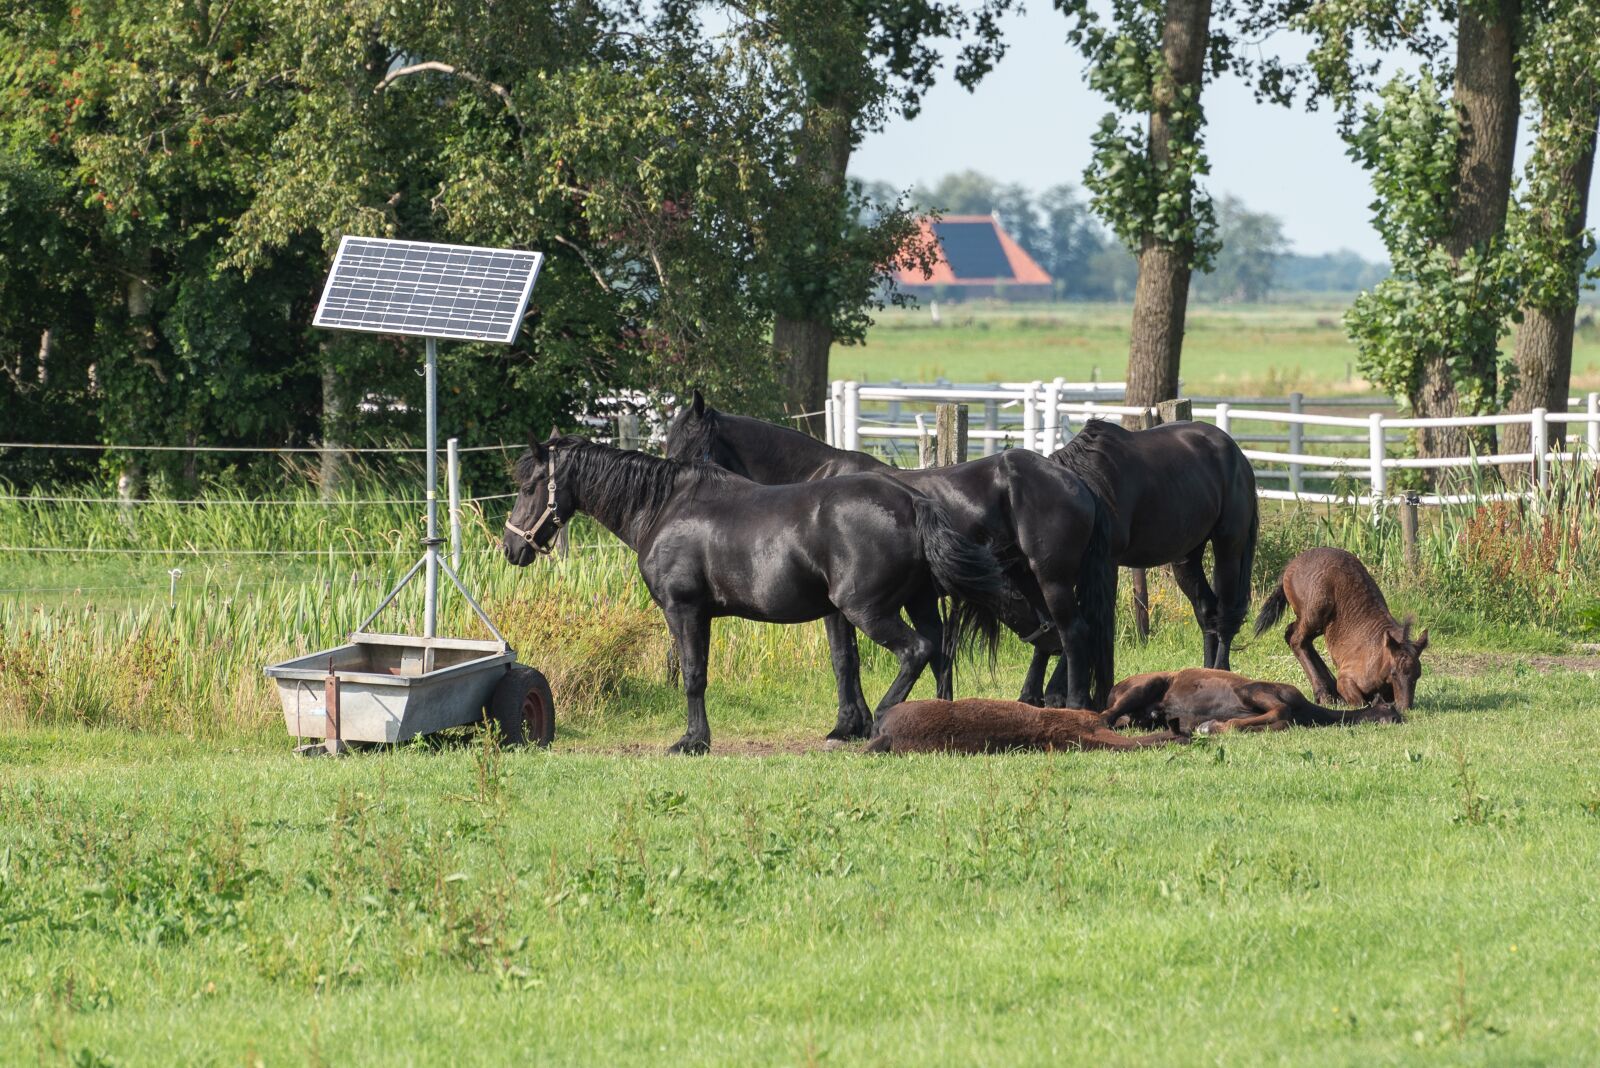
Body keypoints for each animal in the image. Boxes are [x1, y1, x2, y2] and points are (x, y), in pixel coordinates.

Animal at [502, 433, 1019, 754]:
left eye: (529, 486)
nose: (511, 546)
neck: (665, 508)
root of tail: (912, 501)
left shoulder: (684, 611)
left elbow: (693, 676)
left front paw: (693, 741)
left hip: (868, 610)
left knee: (917, 650)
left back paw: (882, 719)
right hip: (919, 602)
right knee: (941, 653)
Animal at [665, 392, 1119, 710]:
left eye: (692, 447)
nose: (677, 489)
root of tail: (1072, 480)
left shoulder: (840, 607)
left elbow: (845, 660)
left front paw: (849, 725)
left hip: (1052, 577)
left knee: (1073, 632)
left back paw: (1073, 702)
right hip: (1027, 580)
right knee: (1051, 635)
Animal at [1050, 418, 1259, 670]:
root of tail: (1237, 454)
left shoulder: (1104, 567)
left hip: (1228, 550)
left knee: (1225, 614)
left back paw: (1220, 670)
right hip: (1186, 559)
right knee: (1207, 611)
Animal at [1253, 546, 1429, 710]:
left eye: (1418, 674)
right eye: (1394, 673)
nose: (1405, 707)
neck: (1380, 655)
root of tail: (1290, 565)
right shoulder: (1348, 679)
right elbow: (1360, 702)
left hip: (1318, 624)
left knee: (1293, 634)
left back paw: (1330, 691)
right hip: (1316, 613)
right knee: (1297, 640)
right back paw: (1325, 694)